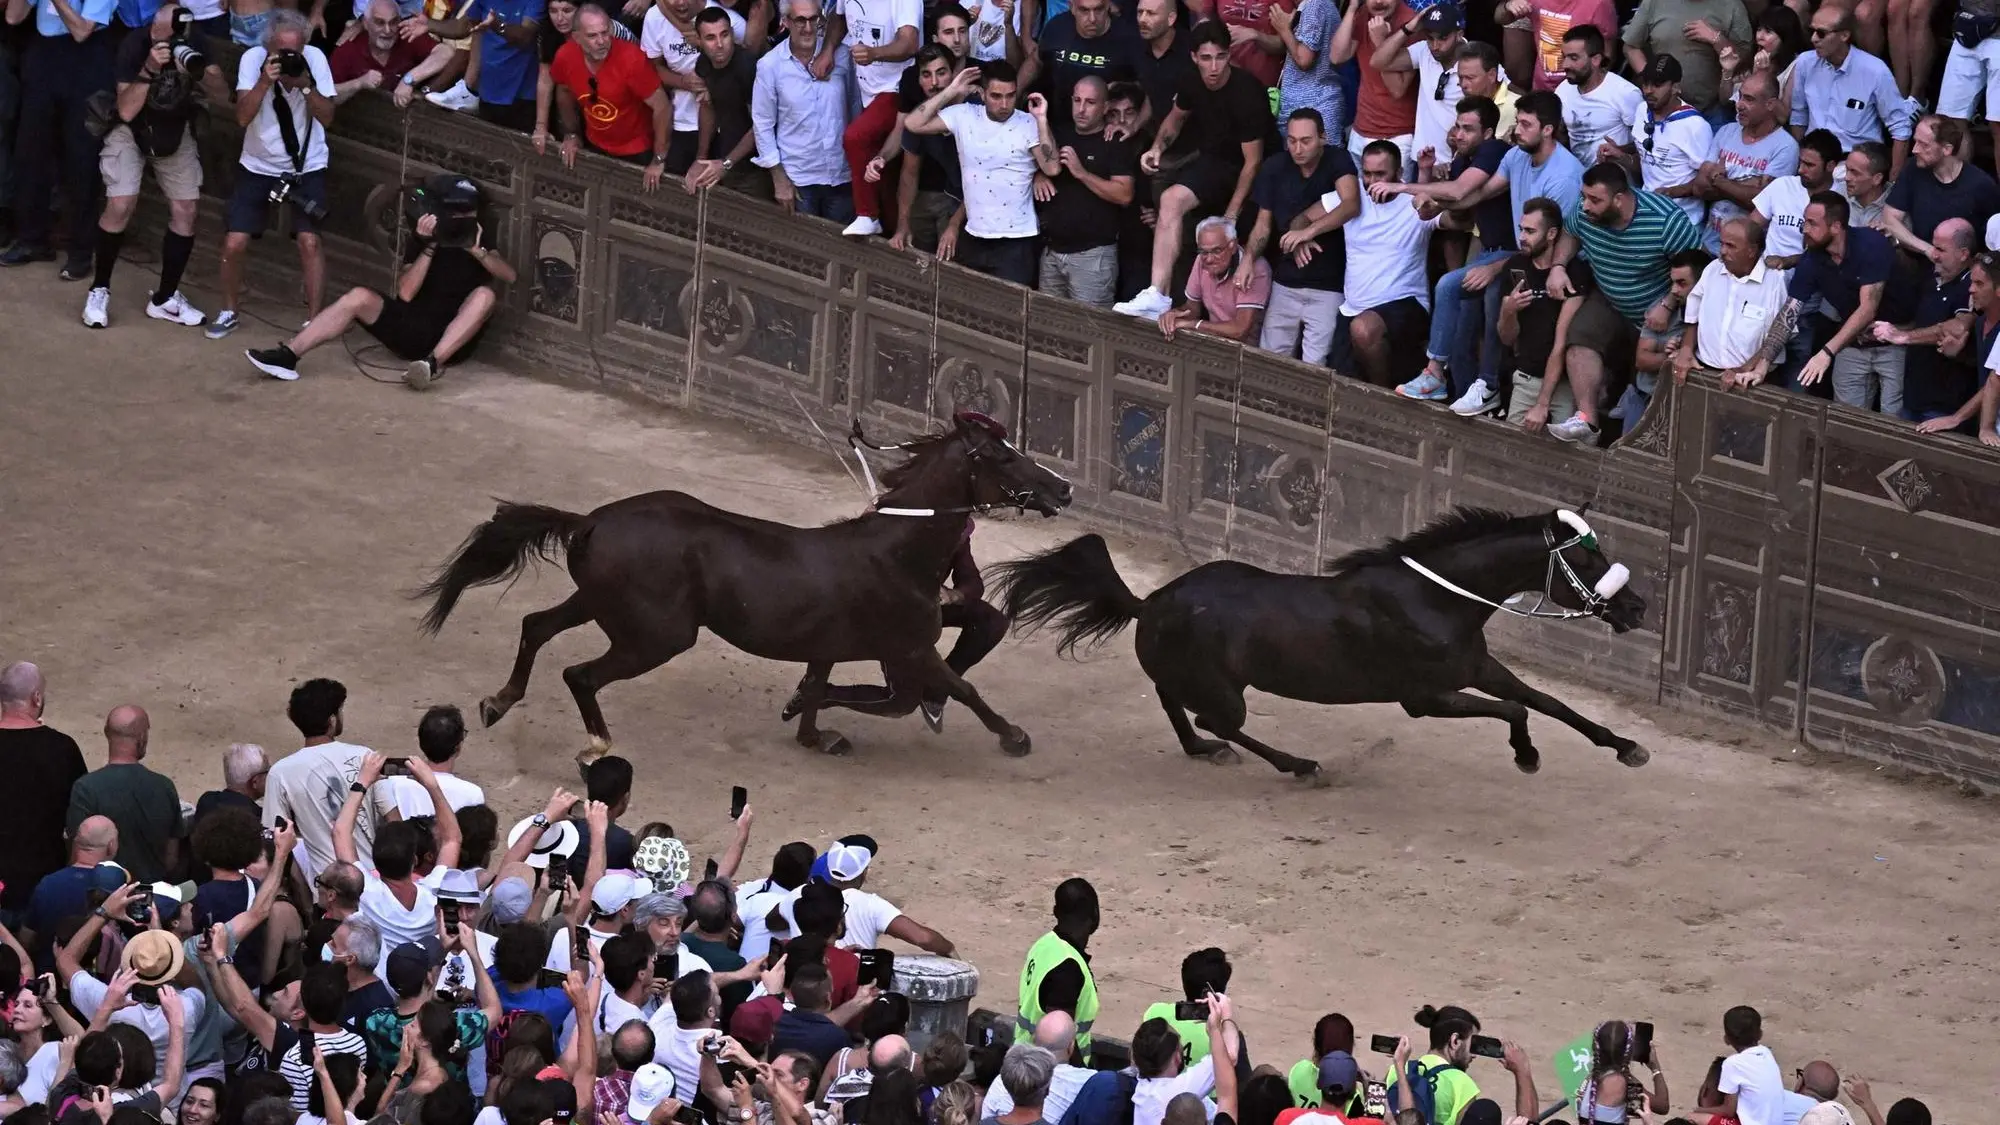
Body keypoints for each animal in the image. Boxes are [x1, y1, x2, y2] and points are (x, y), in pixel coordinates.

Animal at [412, 412, 1072, 760]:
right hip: (657, 636)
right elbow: (952, 691)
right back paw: (596, 744)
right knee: (579, 674)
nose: (1063, 489)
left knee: (536, 627)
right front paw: (1014, 736)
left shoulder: (844, 649)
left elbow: (826, 688)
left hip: (601, 606)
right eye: (1003, 457)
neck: (898, 552)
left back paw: (498, 701)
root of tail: (591, 519)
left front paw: (810, 725)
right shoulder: (910, 649)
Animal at [988, 506, 1656, 780]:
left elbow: (1549, 702)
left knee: (1177, 707)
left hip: (1186, 674)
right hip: (1225, 689)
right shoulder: (1425, 696)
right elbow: (1517, 710)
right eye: (1586, 559)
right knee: (1216, 718)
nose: (1637, 606)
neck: (1435, 599)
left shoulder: (1477, 667)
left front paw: (1626, 747)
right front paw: (1526, 755)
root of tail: (1148, 602)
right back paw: (1298, 764)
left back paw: (1205, 751)